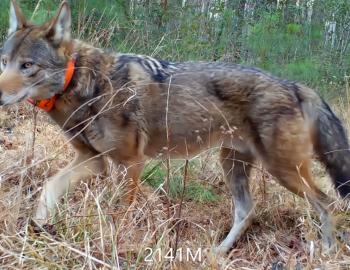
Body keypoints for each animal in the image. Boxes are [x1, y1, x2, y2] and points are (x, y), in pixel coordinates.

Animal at [0, 0, 350, 254]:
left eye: (27, 66)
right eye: (5, 62)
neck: (85, 84)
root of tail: (296, 85)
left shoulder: (130, 164)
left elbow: (119, 213)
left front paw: (116, 245)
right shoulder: (92, 160)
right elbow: (48, 189)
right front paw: (36, 229)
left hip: (284, 171)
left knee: (325, 202)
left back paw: (327, 252)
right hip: (234, 166)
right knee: (247, 212)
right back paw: (217, 254)